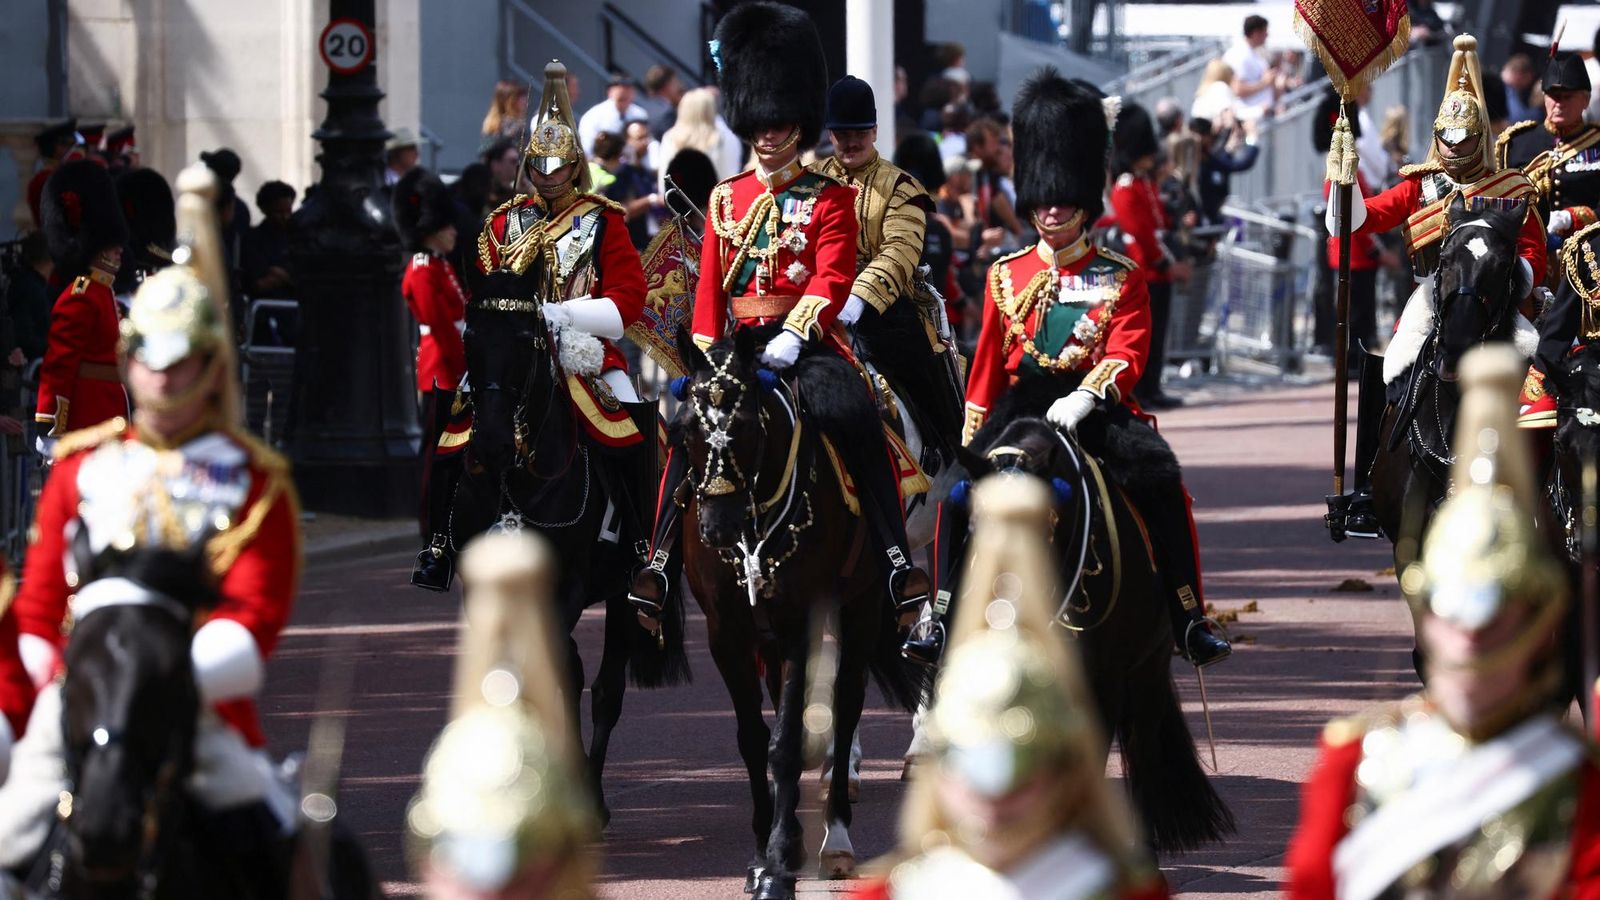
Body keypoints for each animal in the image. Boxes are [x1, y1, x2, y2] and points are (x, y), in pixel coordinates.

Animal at [451, 267, 688, 826]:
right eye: (470, 339)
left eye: (527, 338)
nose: (491, 444)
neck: (515, 483)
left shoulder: (570, 586)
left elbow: (566, 673)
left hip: (626, 594)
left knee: (605, 689)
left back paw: (591, 794)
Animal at [678, 325, 928, 896]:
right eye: (688, 429)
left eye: (746, 425)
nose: (717, 529)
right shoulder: (727, 634)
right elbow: (754, 739)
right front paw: (760, 853)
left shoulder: (800, 624)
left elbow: (785, 745)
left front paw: (776, 866)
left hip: (863, 606)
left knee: (848, 701)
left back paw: (835, 838)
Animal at [921, 416, 1228, 851]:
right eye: (974, 524)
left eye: (1040, 524)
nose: (1002, 611)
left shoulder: (1105, 678)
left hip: (1148, 668)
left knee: (1144, 742)